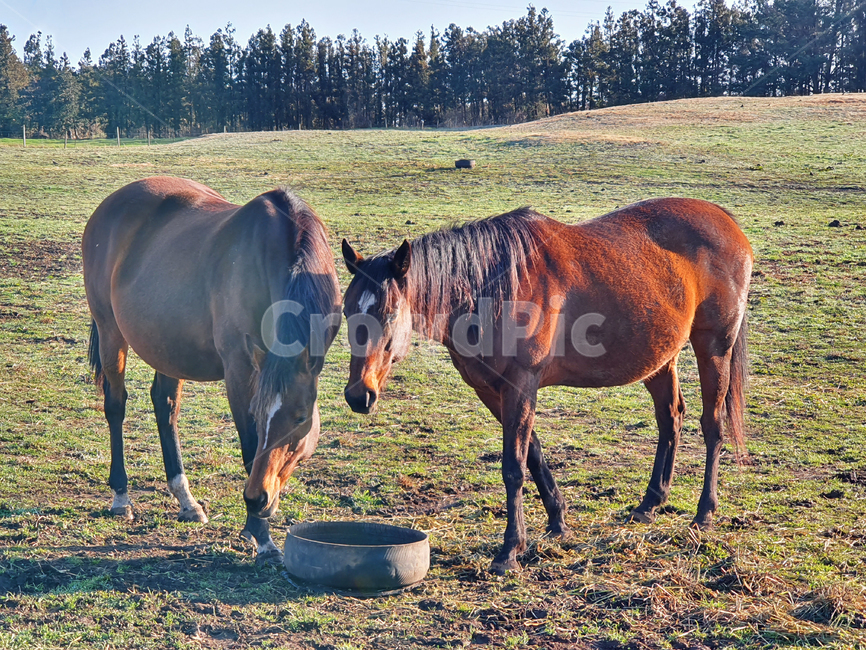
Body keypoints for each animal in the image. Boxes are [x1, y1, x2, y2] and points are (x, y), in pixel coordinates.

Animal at [82, 177, 341, 564]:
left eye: (299, 418)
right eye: (258, 415)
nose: (257, 499)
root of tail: (108, 206)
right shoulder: (239, 368)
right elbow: (250, 448)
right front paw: (261, 536)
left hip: (166, 344)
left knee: (165, 407)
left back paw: (186, 501)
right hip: (111, 332)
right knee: (116, 406)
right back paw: (121, 497)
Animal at [340, 198, 752, 574]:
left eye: (390, 312)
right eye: (347, 310)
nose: (359, 395)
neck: (493, 288)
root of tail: (724, 220)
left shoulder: (521, 383)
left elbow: (513, 466)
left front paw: (510, 550)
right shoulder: (491, 389)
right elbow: (533, 453)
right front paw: (558, 522)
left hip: (714, 348)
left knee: (712, 426)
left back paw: (704, 514)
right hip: (660, 360)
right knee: (671, 419)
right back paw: (650, 504)